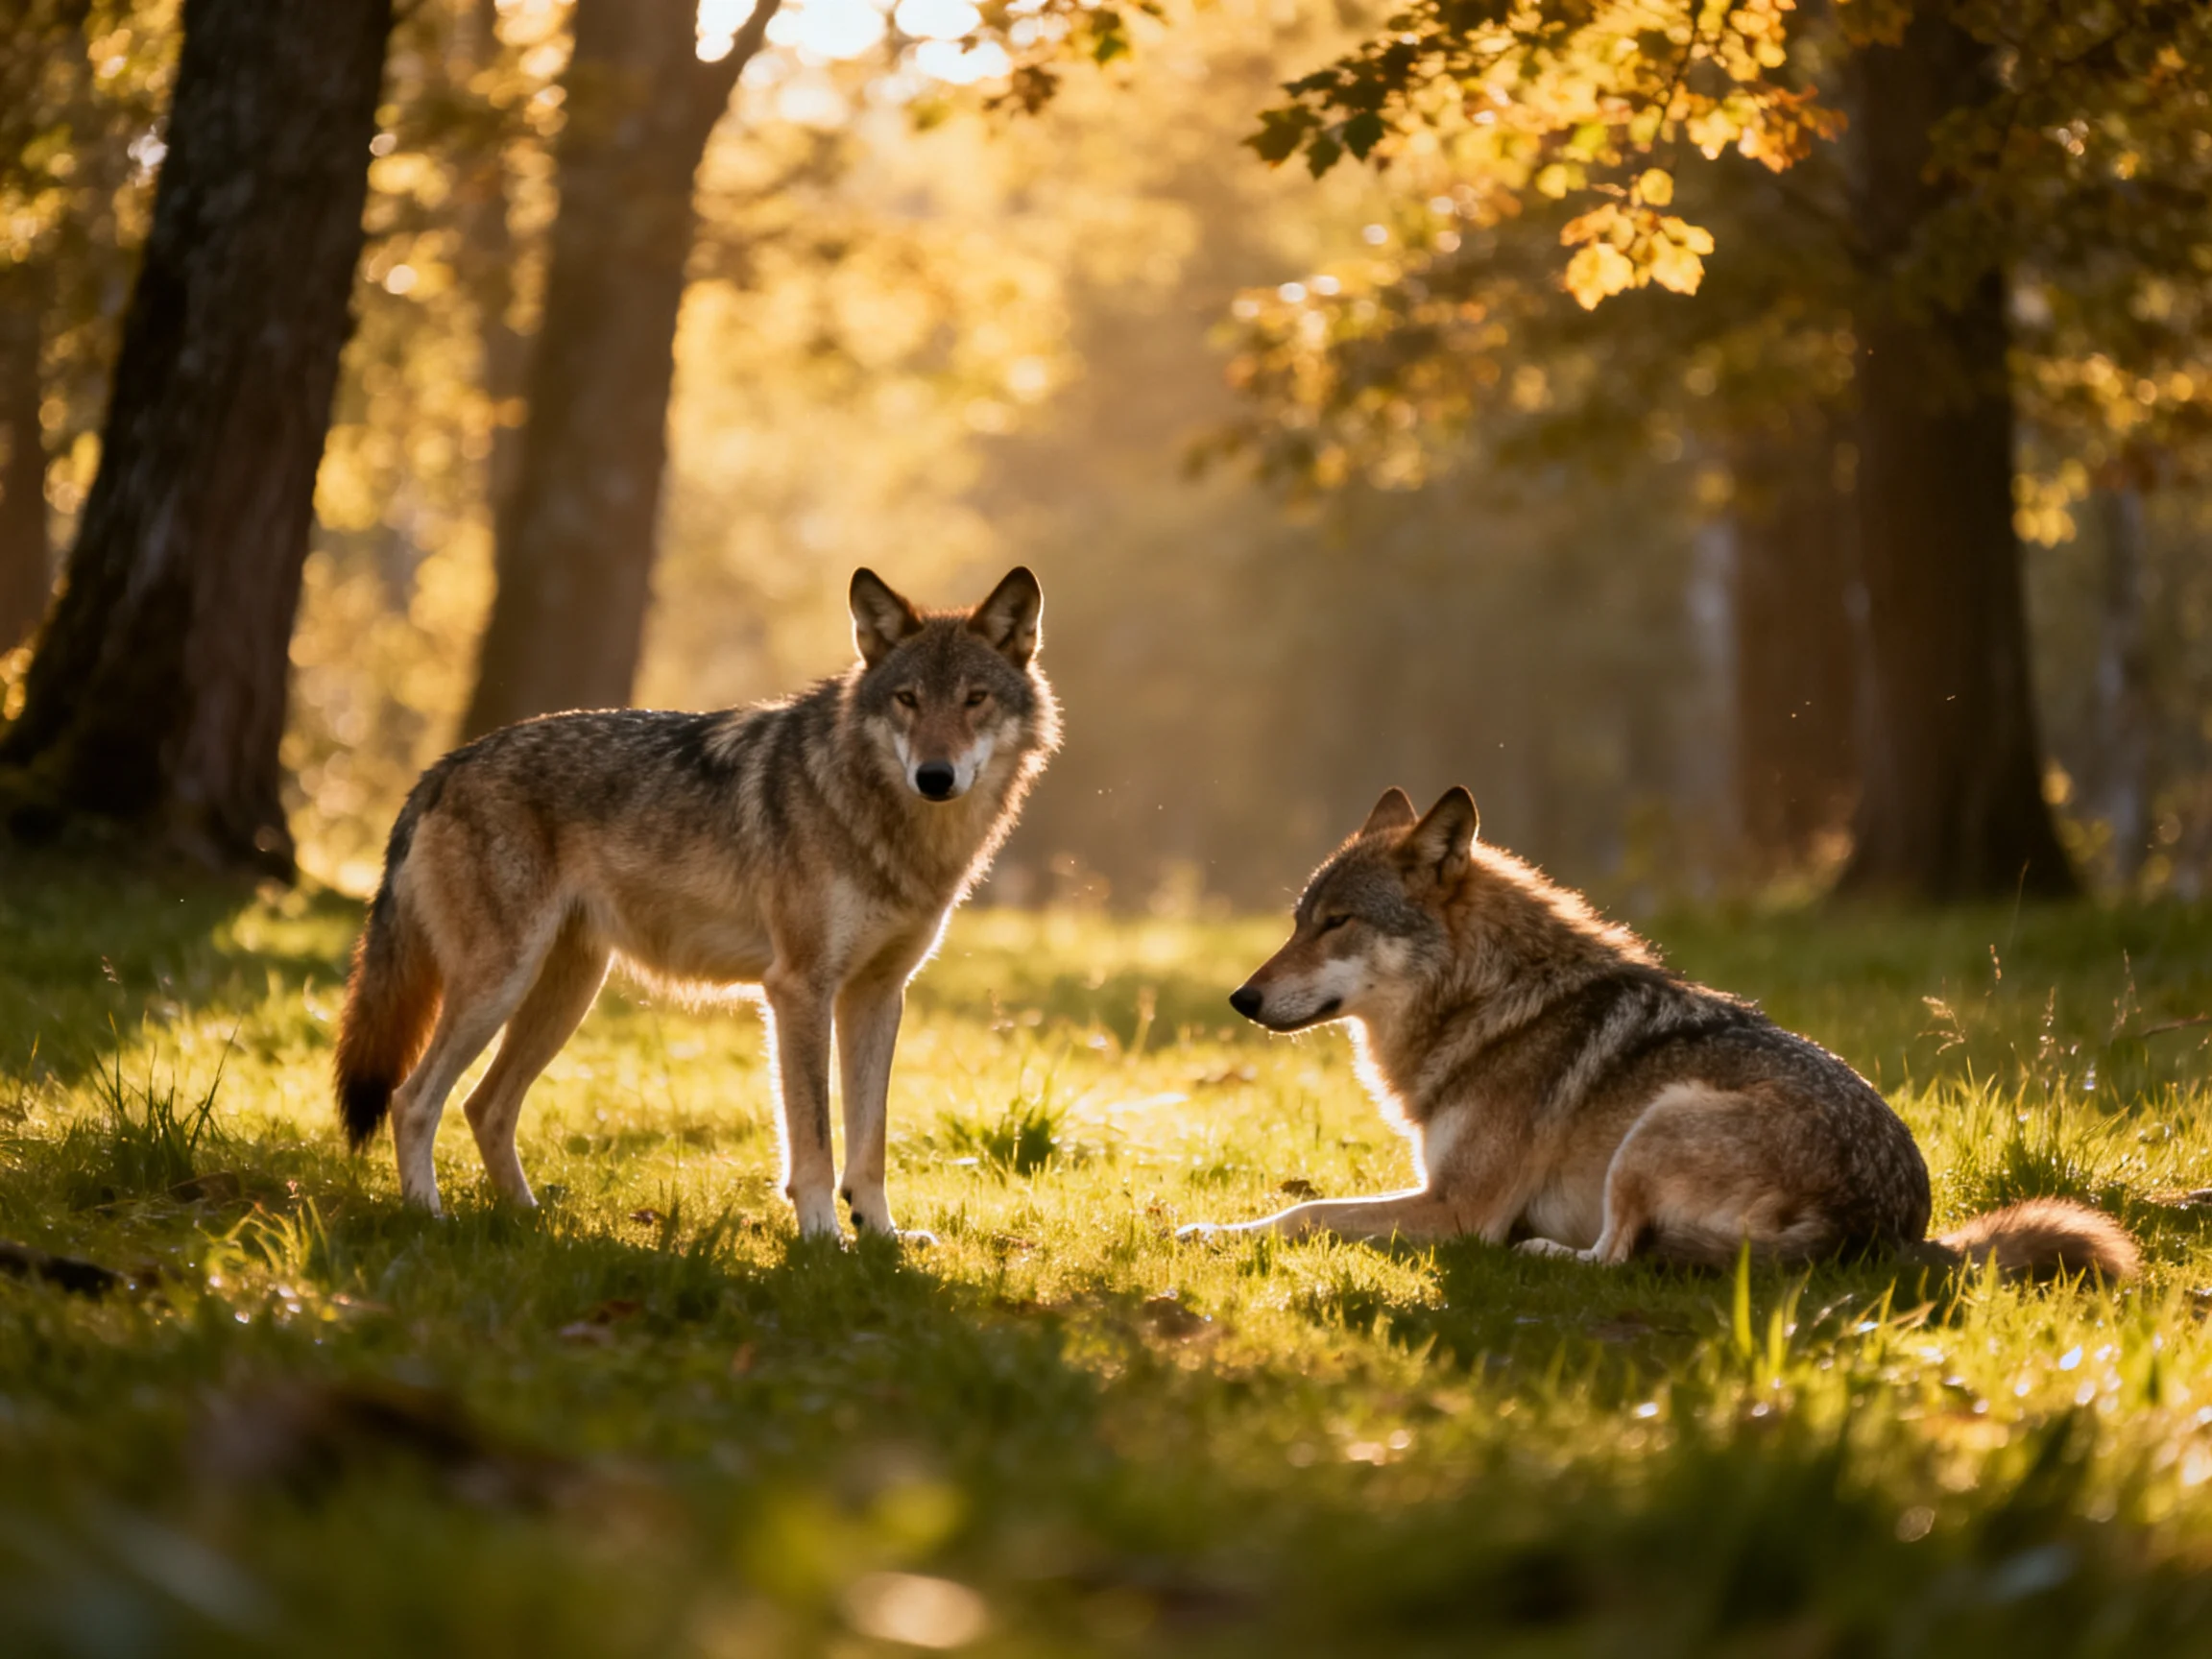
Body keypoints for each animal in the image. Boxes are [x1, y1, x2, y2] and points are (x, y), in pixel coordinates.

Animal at [334, 566, 1058, 1241]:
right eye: (908, 699)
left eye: (974, 699)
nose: (935, 777)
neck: (892, 827)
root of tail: (446, 765)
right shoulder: (798, 989)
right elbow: (815, 1141)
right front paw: (824, 1239)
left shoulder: (877, 995)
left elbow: (870, 1141)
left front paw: (882, 1238)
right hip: (500, 986)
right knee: (412, 1099)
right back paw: (428, 1217)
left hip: (565, 994)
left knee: (484, 1106)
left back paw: (529, 1219)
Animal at [1185, 787, 2138, 1281]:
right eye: (1297, 921)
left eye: (1336, 922)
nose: (1240, 998)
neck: (1489, 1001)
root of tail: (1887, 1232)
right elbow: (1309, 1203)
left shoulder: (1459, 1210)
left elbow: (1306, 1211)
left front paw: (1209, 1234)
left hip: (1657, 1123)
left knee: (1613, 1257)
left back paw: (1546, 1252)